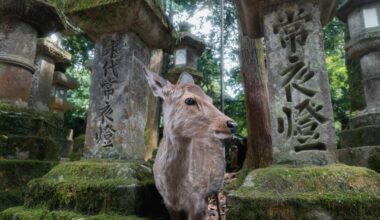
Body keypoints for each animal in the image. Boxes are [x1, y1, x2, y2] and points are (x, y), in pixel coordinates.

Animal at [143, 67, 238, 220]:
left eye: (210, 99)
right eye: (189, 100)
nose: (233, 124)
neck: (176, 190)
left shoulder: (199, 201)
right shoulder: (168, 203)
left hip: (218, 183)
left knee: (218, 199)